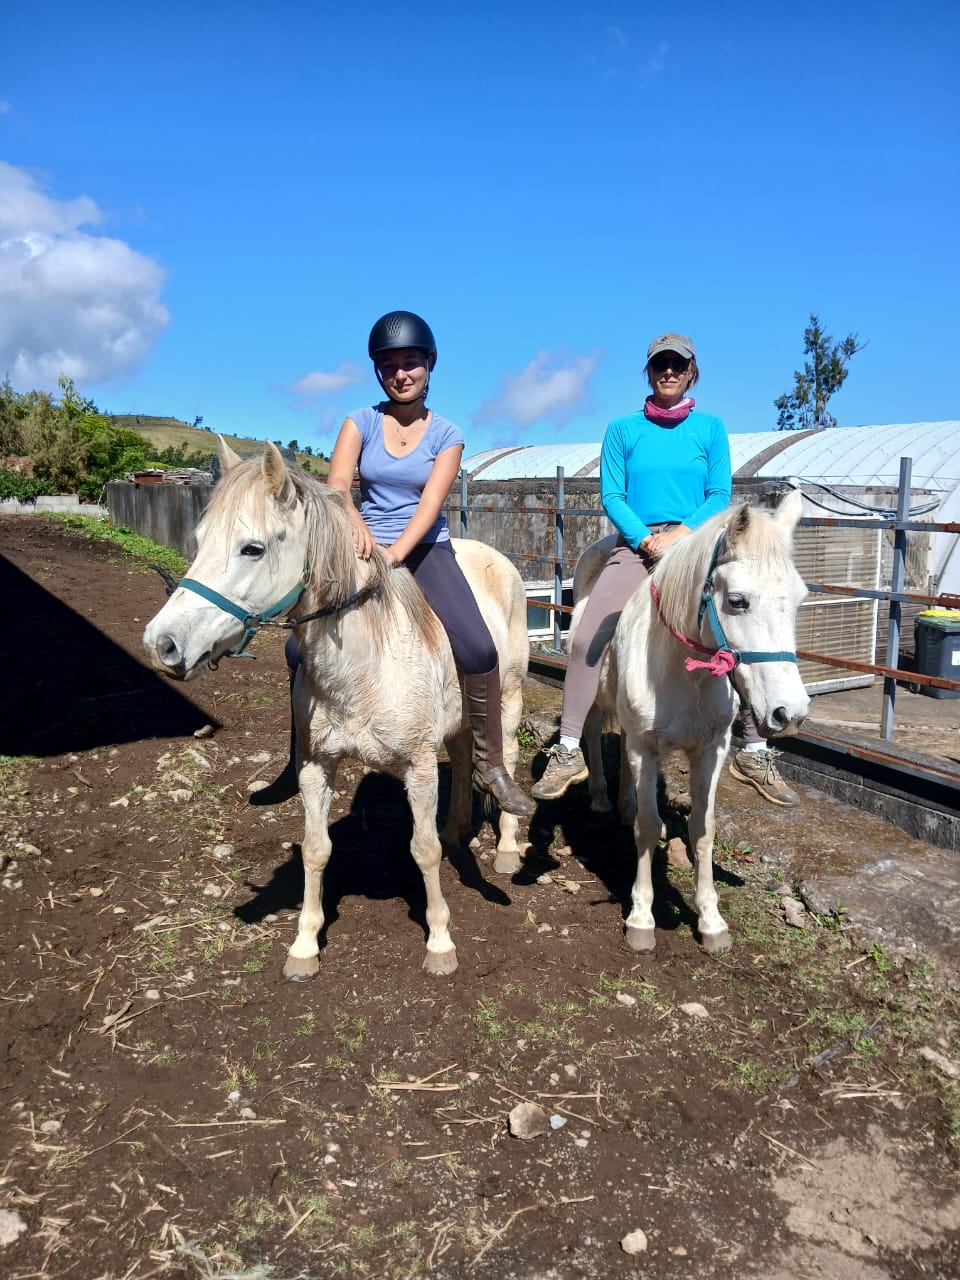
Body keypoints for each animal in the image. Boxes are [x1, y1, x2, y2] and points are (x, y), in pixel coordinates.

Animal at [142, 439, 531, 978]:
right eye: (199, 541)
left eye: (252, 548)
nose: (162, 644)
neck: (363, 666)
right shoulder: (316, 765)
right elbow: (316, 849)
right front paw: (304, 945)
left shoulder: (419, 766)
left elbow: (423, 850)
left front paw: (439, 942)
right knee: (459, 756)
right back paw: (457, 830)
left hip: (508, 698)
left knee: (504, 752)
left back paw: (508, 846)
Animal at [570, 490, 809, 954]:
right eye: (737, 600)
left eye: (799, 599)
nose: (789, 713)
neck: (685, 672)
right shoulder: (646, 746)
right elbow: (648, 827)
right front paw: (641, 919)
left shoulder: (710, 751)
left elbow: (703, 829)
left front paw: (712, 922)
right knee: (591, 731)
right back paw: (601, 797)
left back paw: (624, 803)